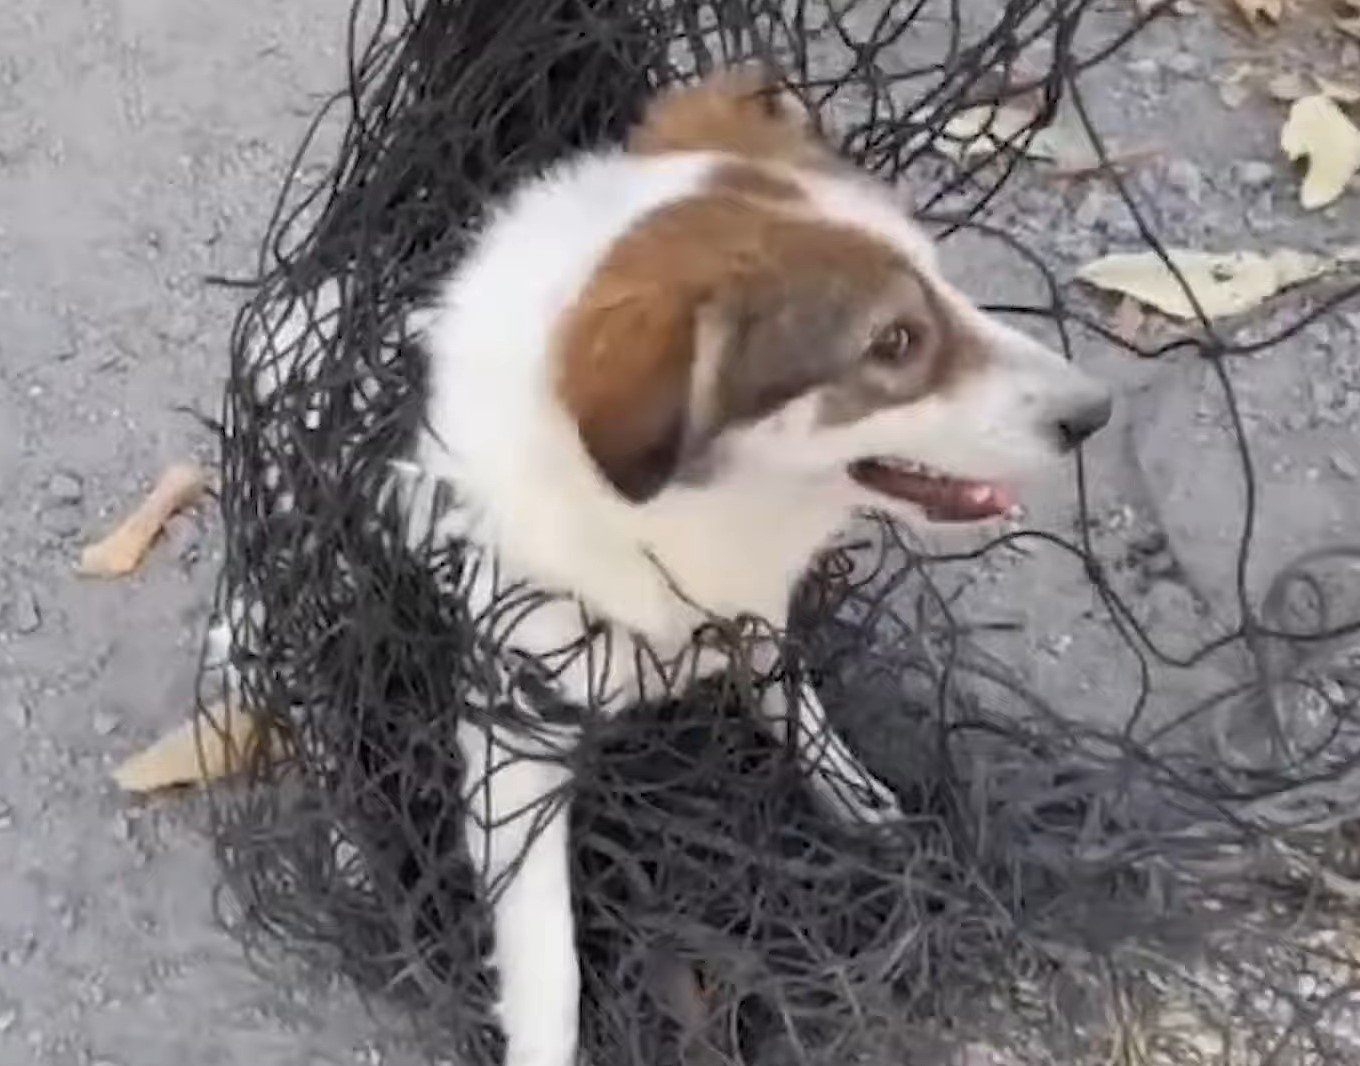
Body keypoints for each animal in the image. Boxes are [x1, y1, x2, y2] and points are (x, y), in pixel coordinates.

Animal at [397, 64, 1109, 1066]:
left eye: (943, 280)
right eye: (893, 342)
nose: (1097, 413)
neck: (681, 520)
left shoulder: (754, 608)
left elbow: (791, 693)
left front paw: (853, 792)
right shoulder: (513, 733)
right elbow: (549, 958)